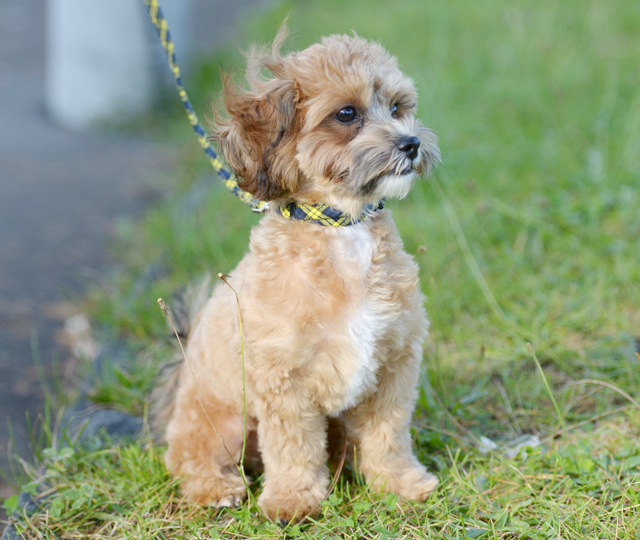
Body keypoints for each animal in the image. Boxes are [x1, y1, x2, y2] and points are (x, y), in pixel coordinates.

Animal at [158, 26, 442, 524]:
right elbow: (293, 449)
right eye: (346, 114)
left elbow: (388, 435)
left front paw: (400, 484)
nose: (411, 144)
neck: (340, 229)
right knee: (190, 459)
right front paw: (293, 501)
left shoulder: (393, 366)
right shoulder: (283, 381)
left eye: (397, 108)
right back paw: (217, 488)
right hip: (221, 423)